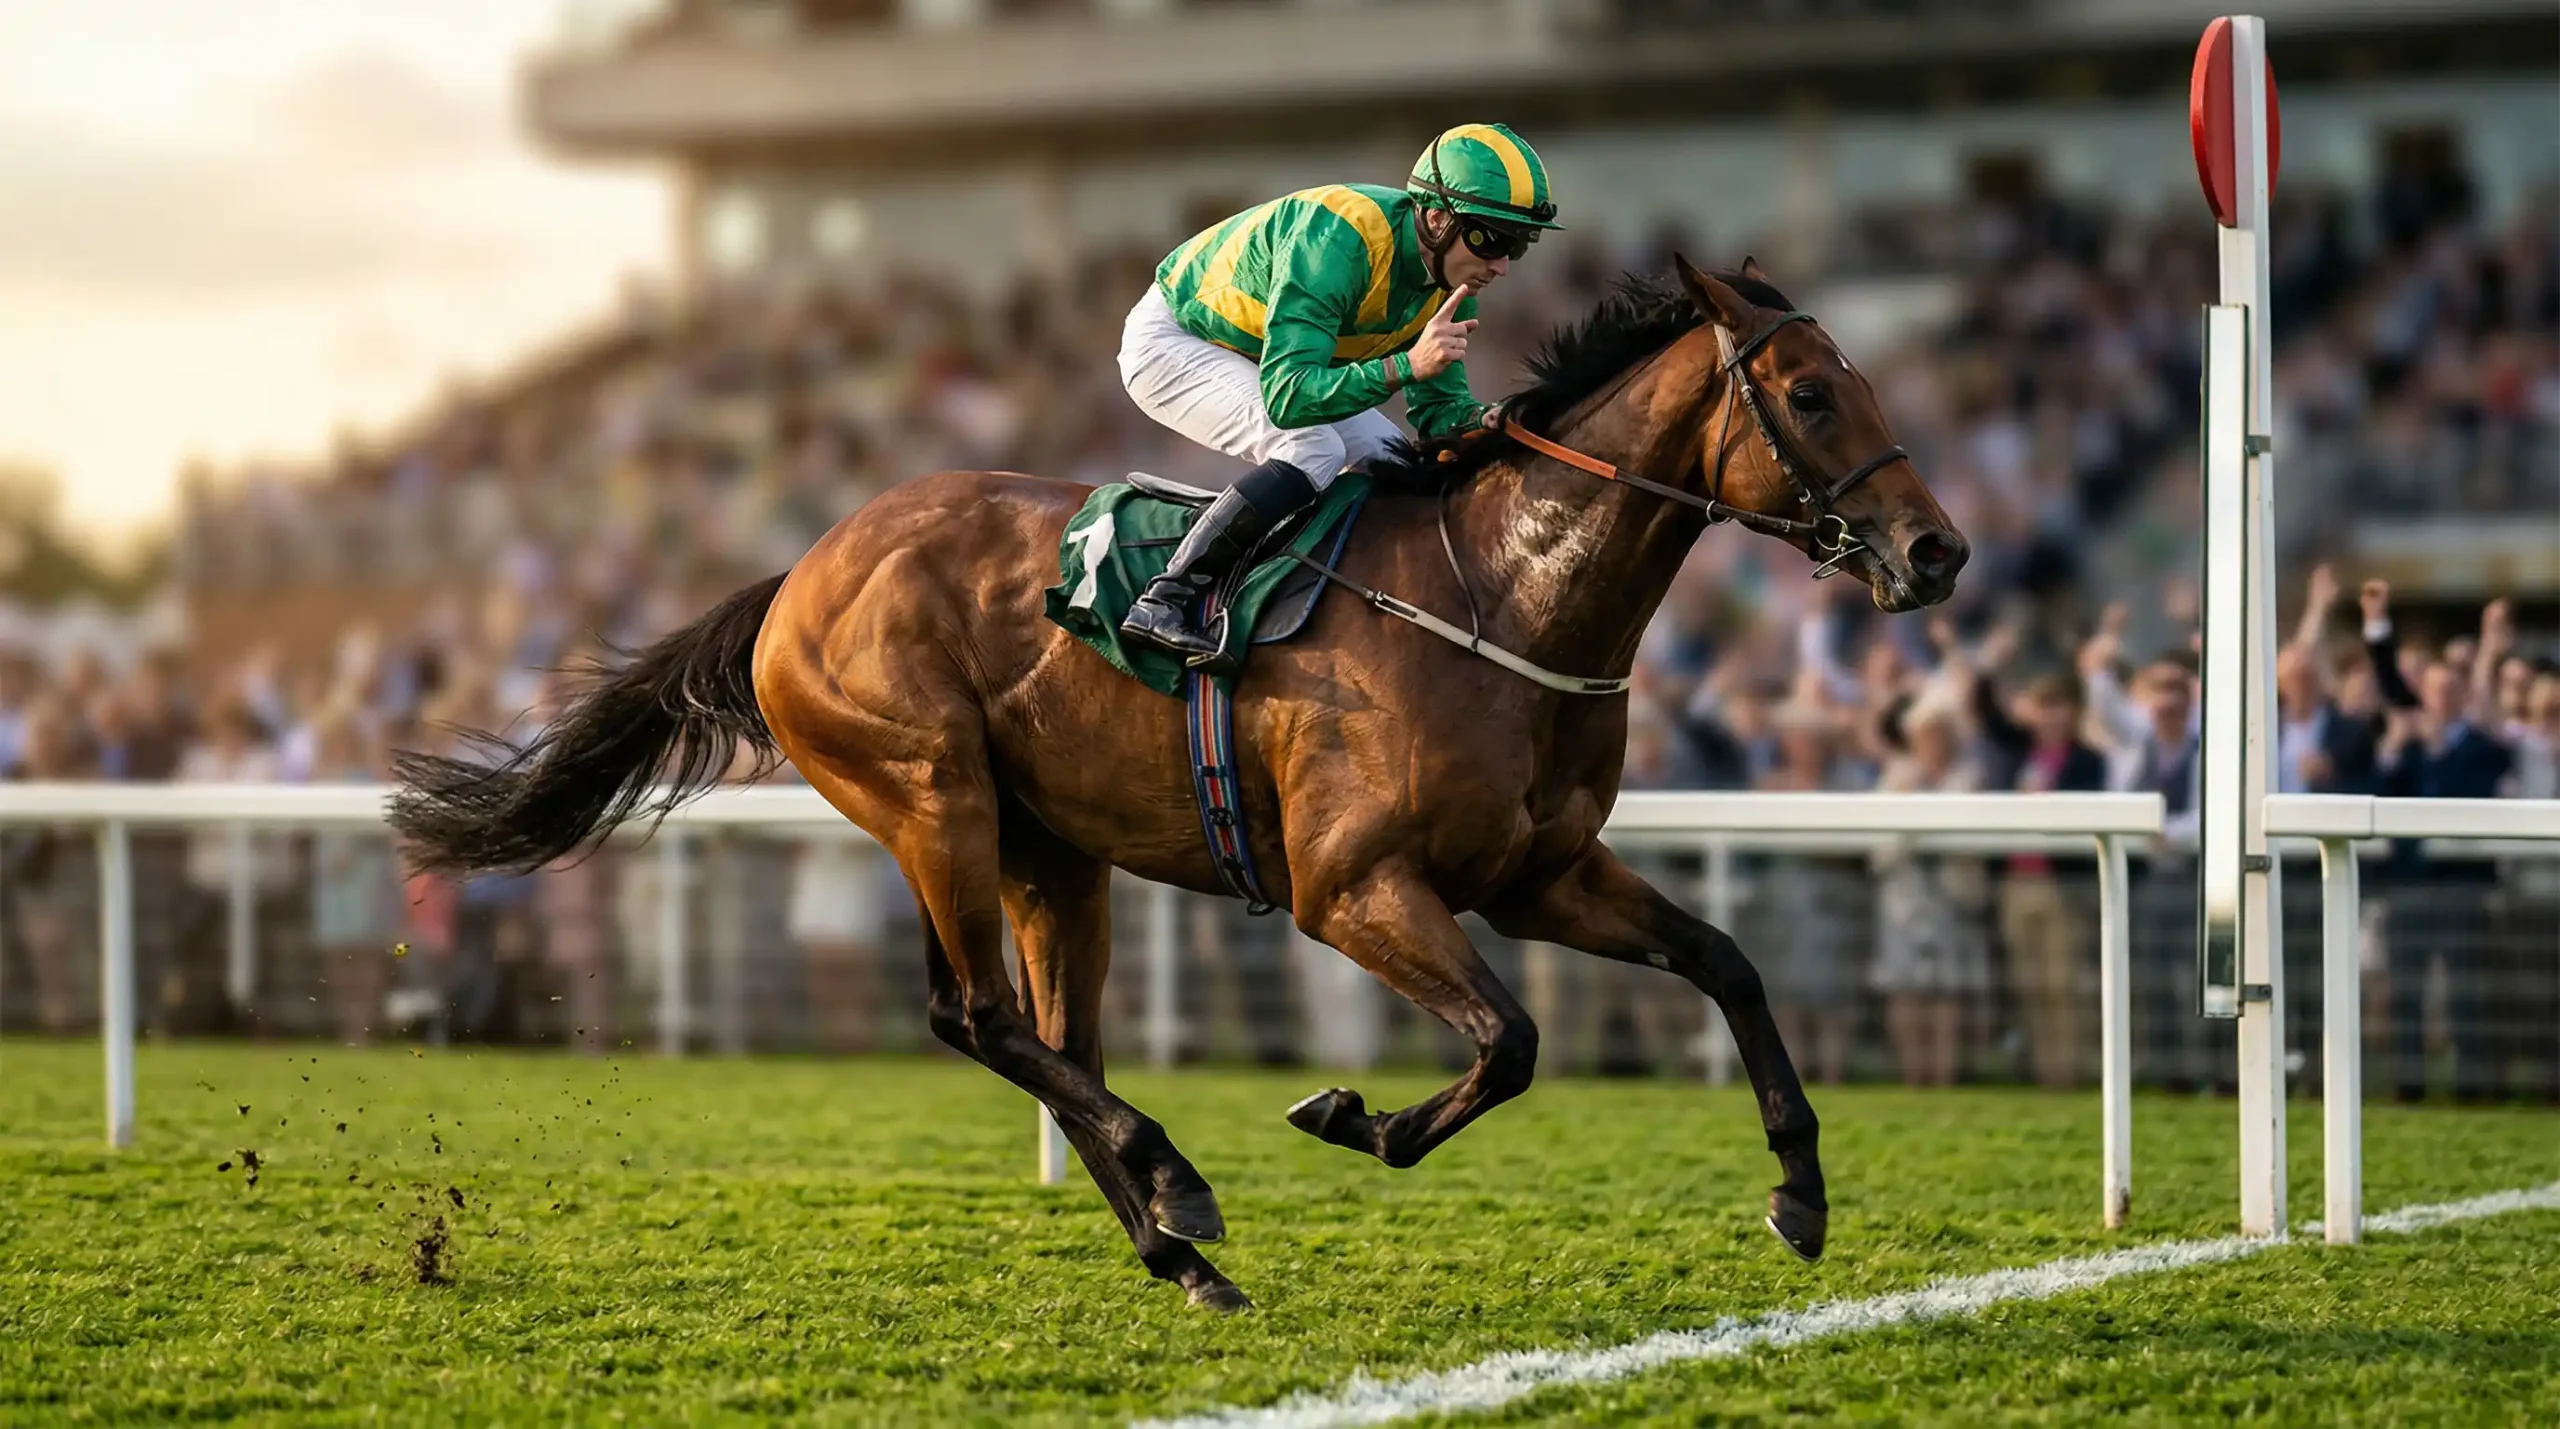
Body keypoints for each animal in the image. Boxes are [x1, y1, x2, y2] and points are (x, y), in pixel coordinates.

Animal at [391, 256, 1968, 1313]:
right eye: (1813, 392)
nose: (1939, 551)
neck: (1501, 597)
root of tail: (801, 571)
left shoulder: (1542, 875)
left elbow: (1726, 962)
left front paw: (1800, 1194)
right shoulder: (1351, 888)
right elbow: (1510, 1042)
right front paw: (1352, 1118)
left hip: (1054, 851)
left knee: (1059, 1040)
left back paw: (1172, 1243)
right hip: (933, 795)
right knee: (976, 1018)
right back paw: (1178, 1184)